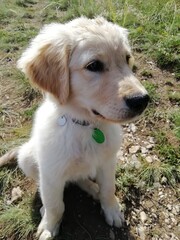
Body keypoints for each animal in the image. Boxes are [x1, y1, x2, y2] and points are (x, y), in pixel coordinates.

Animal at [0, 17, 149, 240]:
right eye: (94, 65)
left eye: (127, 58)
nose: (142, 100)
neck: (87, 126)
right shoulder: (51, 174)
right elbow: (55, 205)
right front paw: (49, 226)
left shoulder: (108, 162)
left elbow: (109, 188)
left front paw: (112, 209)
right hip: (27, 157)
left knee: (81, 179)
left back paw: (93, 189)